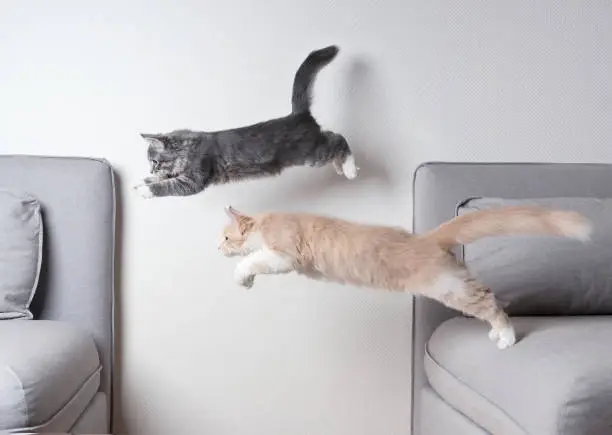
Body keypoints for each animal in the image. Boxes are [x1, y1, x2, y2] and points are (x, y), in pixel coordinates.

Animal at [131, 44, 356, 199]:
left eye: (155, 161)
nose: (151, 169)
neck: (190, 149)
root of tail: (298, 115)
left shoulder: (194, 179)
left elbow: (166, 186)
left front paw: (145, 189)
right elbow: (166, 177)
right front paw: (143, 180)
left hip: (313, 154)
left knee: (338, 139)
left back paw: (350, 169)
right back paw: (339, 167)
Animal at [218, 205, 592, 350]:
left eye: (224, 236)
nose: (216, 247)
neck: (268, 220)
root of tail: (427, 238)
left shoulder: (285, 253)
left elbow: (253, 260)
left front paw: (241, 277)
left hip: (448, 287)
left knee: (490, 301)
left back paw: (507, 337)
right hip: (455, 280)